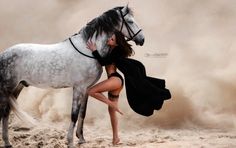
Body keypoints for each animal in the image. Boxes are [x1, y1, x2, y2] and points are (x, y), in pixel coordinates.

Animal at [0, 5, 144, 147]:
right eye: (130, 21)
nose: (142, 39)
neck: (88, 50)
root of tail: (4, 54)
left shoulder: (86, 89)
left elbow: (82, 113)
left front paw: (81, 138)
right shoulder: (78, 88)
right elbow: (74, 114)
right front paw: (70, 141)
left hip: (17, 87)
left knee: (6, 112)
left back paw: (7, 142)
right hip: (8, 88)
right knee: (4, 112)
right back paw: (6, 141)